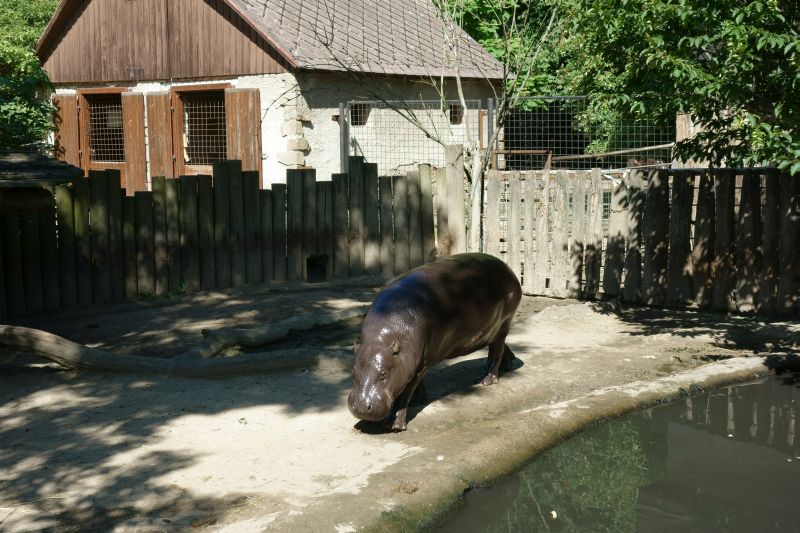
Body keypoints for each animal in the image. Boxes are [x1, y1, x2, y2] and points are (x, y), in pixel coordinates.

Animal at [346, 251, 520, 430]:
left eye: (383, 374)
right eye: (352, 373)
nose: (360, 408)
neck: (383, 337)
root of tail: (507, 268)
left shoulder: (422, 363)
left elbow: (406, 392)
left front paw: (395, 425)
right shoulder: (413, 362)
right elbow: (416, 385)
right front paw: (418, 400)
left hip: (503, 324)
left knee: (496, 352)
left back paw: (486, 380)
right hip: (491, 330)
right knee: (497, 347)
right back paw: (507, 365)